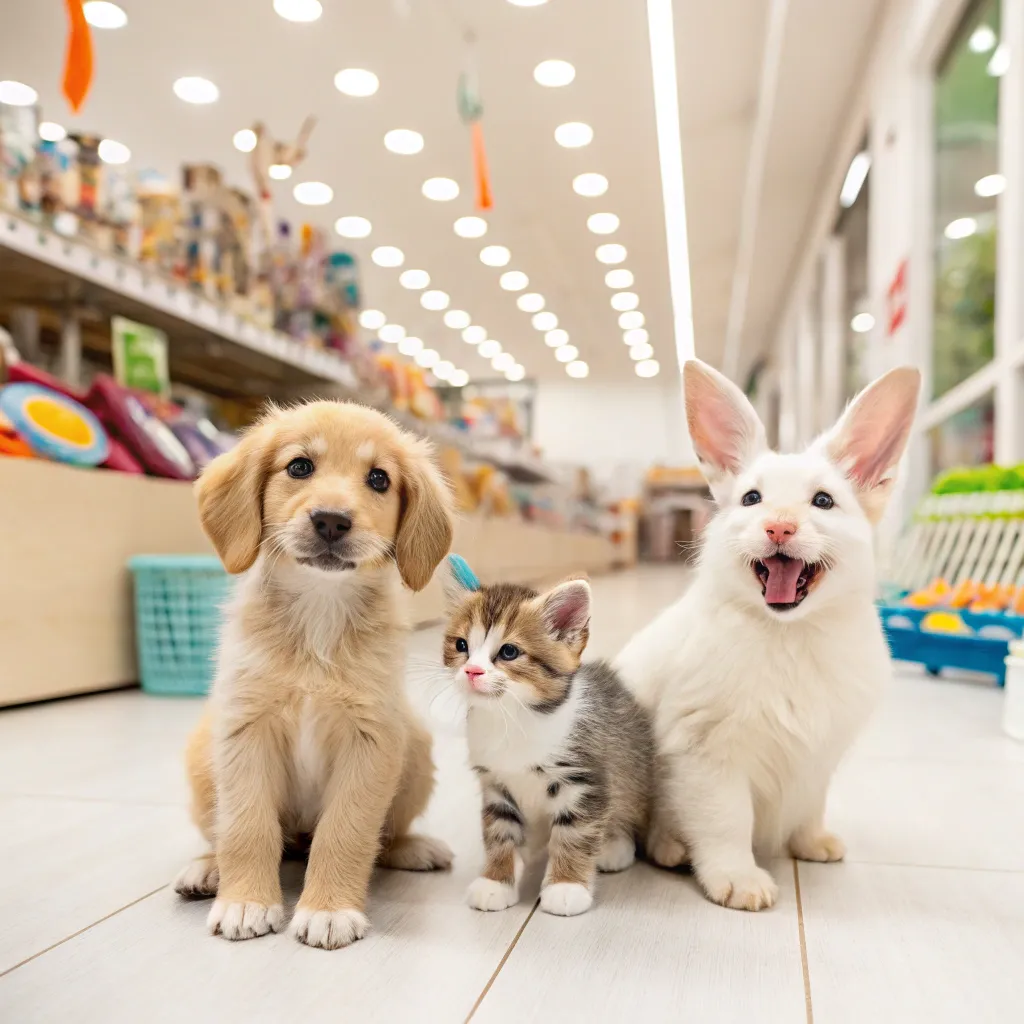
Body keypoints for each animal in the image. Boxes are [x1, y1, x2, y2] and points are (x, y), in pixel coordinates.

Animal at [174, 399, 454, 950]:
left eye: (379, 479)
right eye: (300, 466)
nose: (330, 521)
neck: (319, 611)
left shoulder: (370, 738)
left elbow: (346, 832)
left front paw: (328, 910)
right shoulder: (246, 729)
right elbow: (246, 828)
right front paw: (246, 902)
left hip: (413, 746)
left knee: (382, 835)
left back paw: (413, 848)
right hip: (203, 756)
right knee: (229, 834)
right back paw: (207, 870)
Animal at [442, 561, 655, 921]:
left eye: (509, 651)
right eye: (461, 646)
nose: (472, 671)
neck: (512, 719)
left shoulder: (584, 779)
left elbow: (575, 833)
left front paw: (566, 887)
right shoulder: (495, 783)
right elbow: (499, 832)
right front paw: (496, 880)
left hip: (632, 767)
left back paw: (613, 846)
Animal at [614, 360, 921, 913]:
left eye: (823, 501)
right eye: (751, 499)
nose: (778, 528)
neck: (788, 633)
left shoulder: (820, 755)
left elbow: (812, 803)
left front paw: (812, 843)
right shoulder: (708, 755)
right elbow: (726, 822)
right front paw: (739, 881)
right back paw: (670, 848)